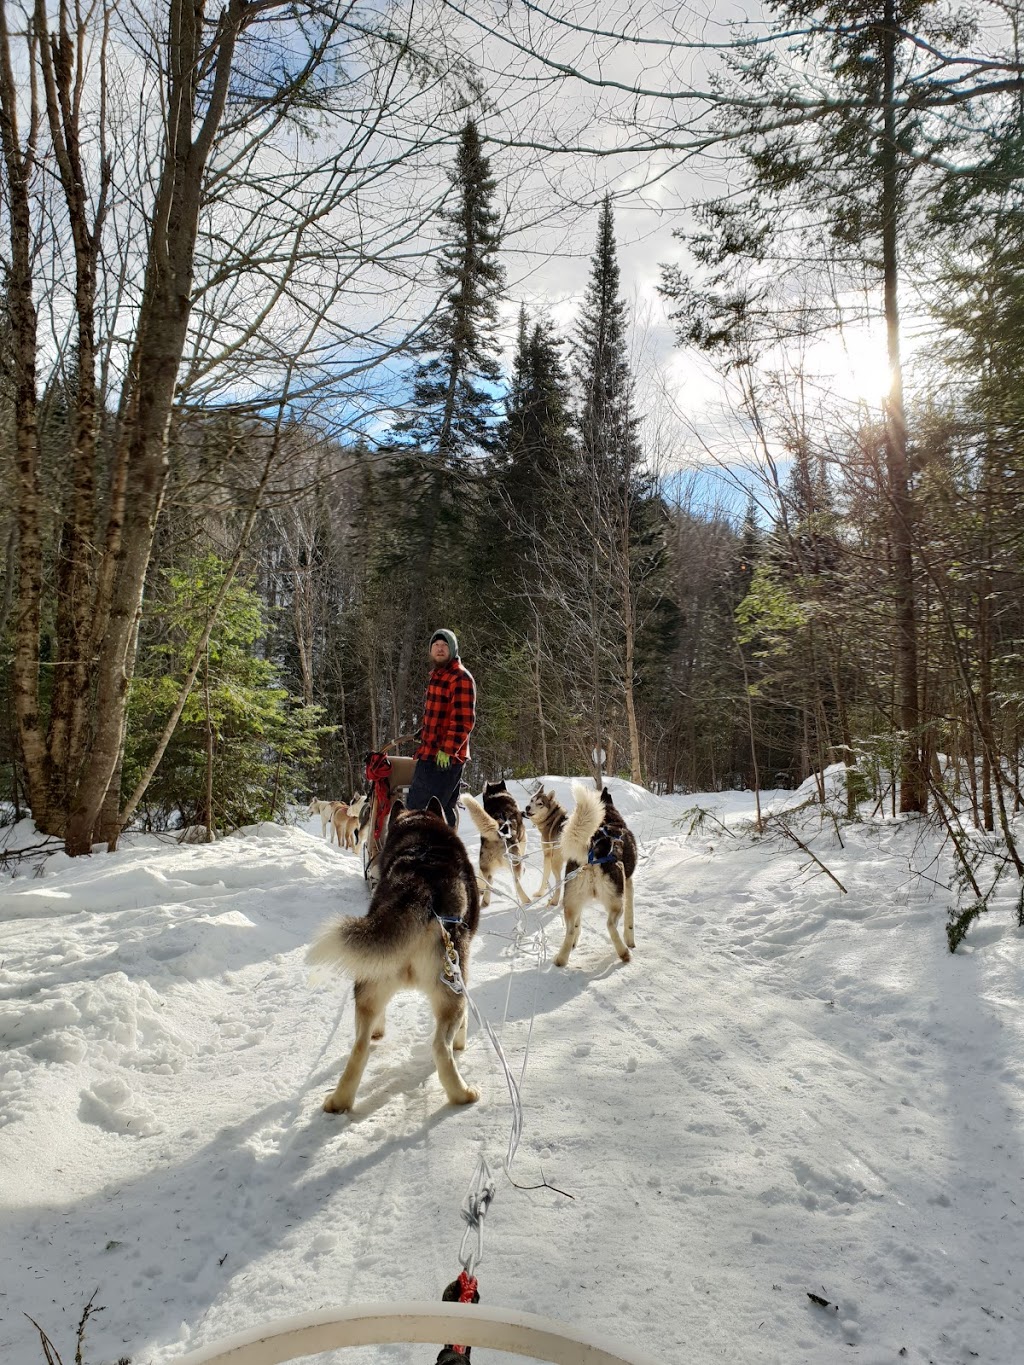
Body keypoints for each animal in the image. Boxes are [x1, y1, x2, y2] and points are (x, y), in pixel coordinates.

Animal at [307, 797, 483, 1108]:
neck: (422, 838)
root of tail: (417, 889)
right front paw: (462, 1042)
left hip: (370, 984)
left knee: (360, 1046)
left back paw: (339, 1101)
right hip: (453, 989)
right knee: (440, 1047)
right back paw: (462, 1093)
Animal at [557, 786, 638, 966]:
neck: (609, 820)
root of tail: (592, 853)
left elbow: (577, 926)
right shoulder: (629, 883)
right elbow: (629, 921)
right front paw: (630, 941)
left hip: (571, 904)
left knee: (570, 930)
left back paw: (561, 959)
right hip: (616, 902)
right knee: (610, 925)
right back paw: (624, 953)